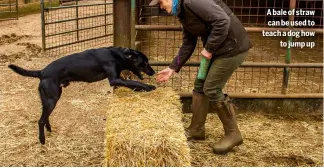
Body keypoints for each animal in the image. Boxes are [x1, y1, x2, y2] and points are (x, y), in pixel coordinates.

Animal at [8, 46, 157, 144]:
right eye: (144, 63)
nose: (153, 72)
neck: (117, 55)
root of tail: (42, 72)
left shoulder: (118, 78)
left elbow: (132, 83)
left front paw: (141, 89)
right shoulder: (114, 79)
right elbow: (133, 81)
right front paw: (149, 87)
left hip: (49, 99)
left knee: (45, 117)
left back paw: (49, 130)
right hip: (52, 99)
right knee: (40, 120)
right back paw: (42, 141)